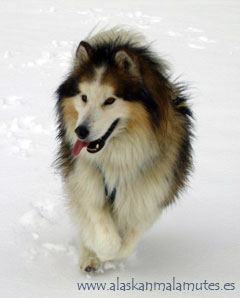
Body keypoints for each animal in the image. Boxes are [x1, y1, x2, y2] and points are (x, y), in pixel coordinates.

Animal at [54, 27, 193, 272]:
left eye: (110, 100)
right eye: (84, 97)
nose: (80, 131)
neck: (118, 155)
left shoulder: (150, 193)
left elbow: (129, 239)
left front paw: (111, 255)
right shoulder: (86, 179)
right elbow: (102, 230)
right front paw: (98, 251)